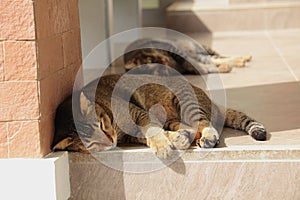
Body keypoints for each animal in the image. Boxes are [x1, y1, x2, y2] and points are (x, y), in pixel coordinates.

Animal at [52, 73, 266, 158]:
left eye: (102, 125)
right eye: (92, 144)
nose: (111, 142)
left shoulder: (139, 114)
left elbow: (153, 133)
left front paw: (164, 147)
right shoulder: (132, 135)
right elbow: (151, 136)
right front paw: (176, 140)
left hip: (186, 102)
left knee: (205, 122)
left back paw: (207, 137)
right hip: (173, 119)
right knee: (190, 127)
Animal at [123, 38, 252, 74]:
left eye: (150, 59)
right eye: (154, 68)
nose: (164, 60)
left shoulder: (173, 50)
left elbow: (189, 62)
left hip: (203, 49)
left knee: (218, 56)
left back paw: (244, 57)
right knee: (216, 59)